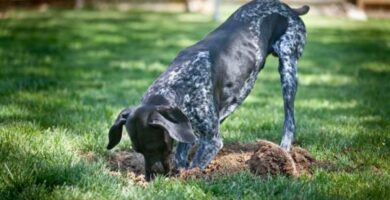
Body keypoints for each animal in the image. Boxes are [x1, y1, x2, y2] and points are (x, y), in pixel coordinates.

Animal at [106, 0, 308, 181]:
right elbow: (182, 156)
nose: (151, 178)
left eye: (157, 147)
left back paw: (284, 152)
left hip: (288, 67)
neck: (177, 85)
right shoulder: (186, 127)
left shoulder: (212, 141)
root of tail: (289, 9)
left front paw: (185, 177)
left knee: (290, 120)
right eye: (138, 151)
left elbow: (195, 166)